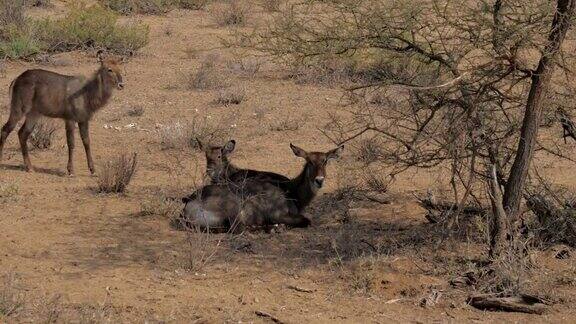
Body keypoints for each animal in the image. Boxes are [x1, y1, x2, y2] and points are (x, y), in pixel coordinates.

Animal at [180, 144, 342, 230]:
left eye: (325, 161)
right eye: (310, 161)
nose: (319, 180)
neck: (290, 189)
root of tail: (189, 202)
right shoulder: (278, 214)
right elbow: (307, 220)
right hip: (235, 209)